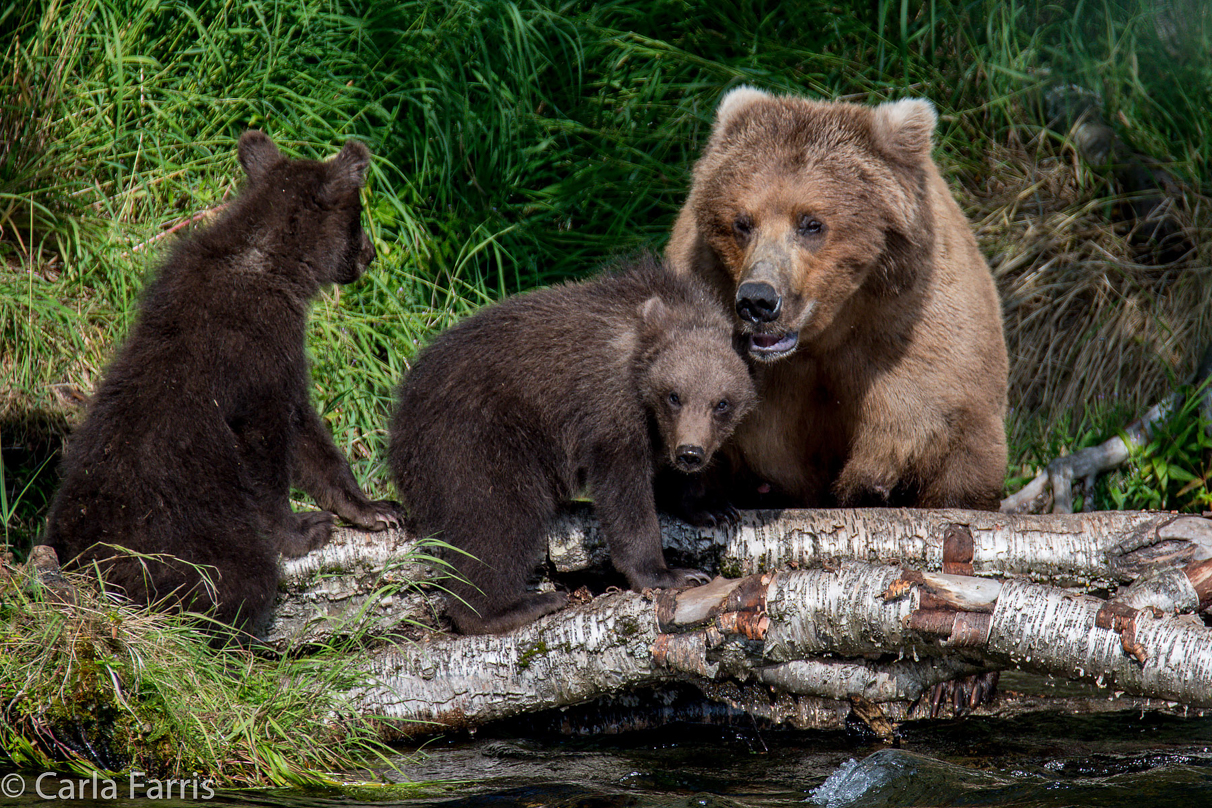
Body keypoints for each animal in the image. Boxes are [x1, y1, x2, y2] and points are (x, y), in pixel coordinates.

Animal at [669, 88, 1008, 511]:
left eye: (812, 223)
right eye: (742, 222)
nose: (758, 300)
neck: (822, 337)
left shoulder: (911, 329)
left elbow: (941, 430)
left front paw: (876, 483)